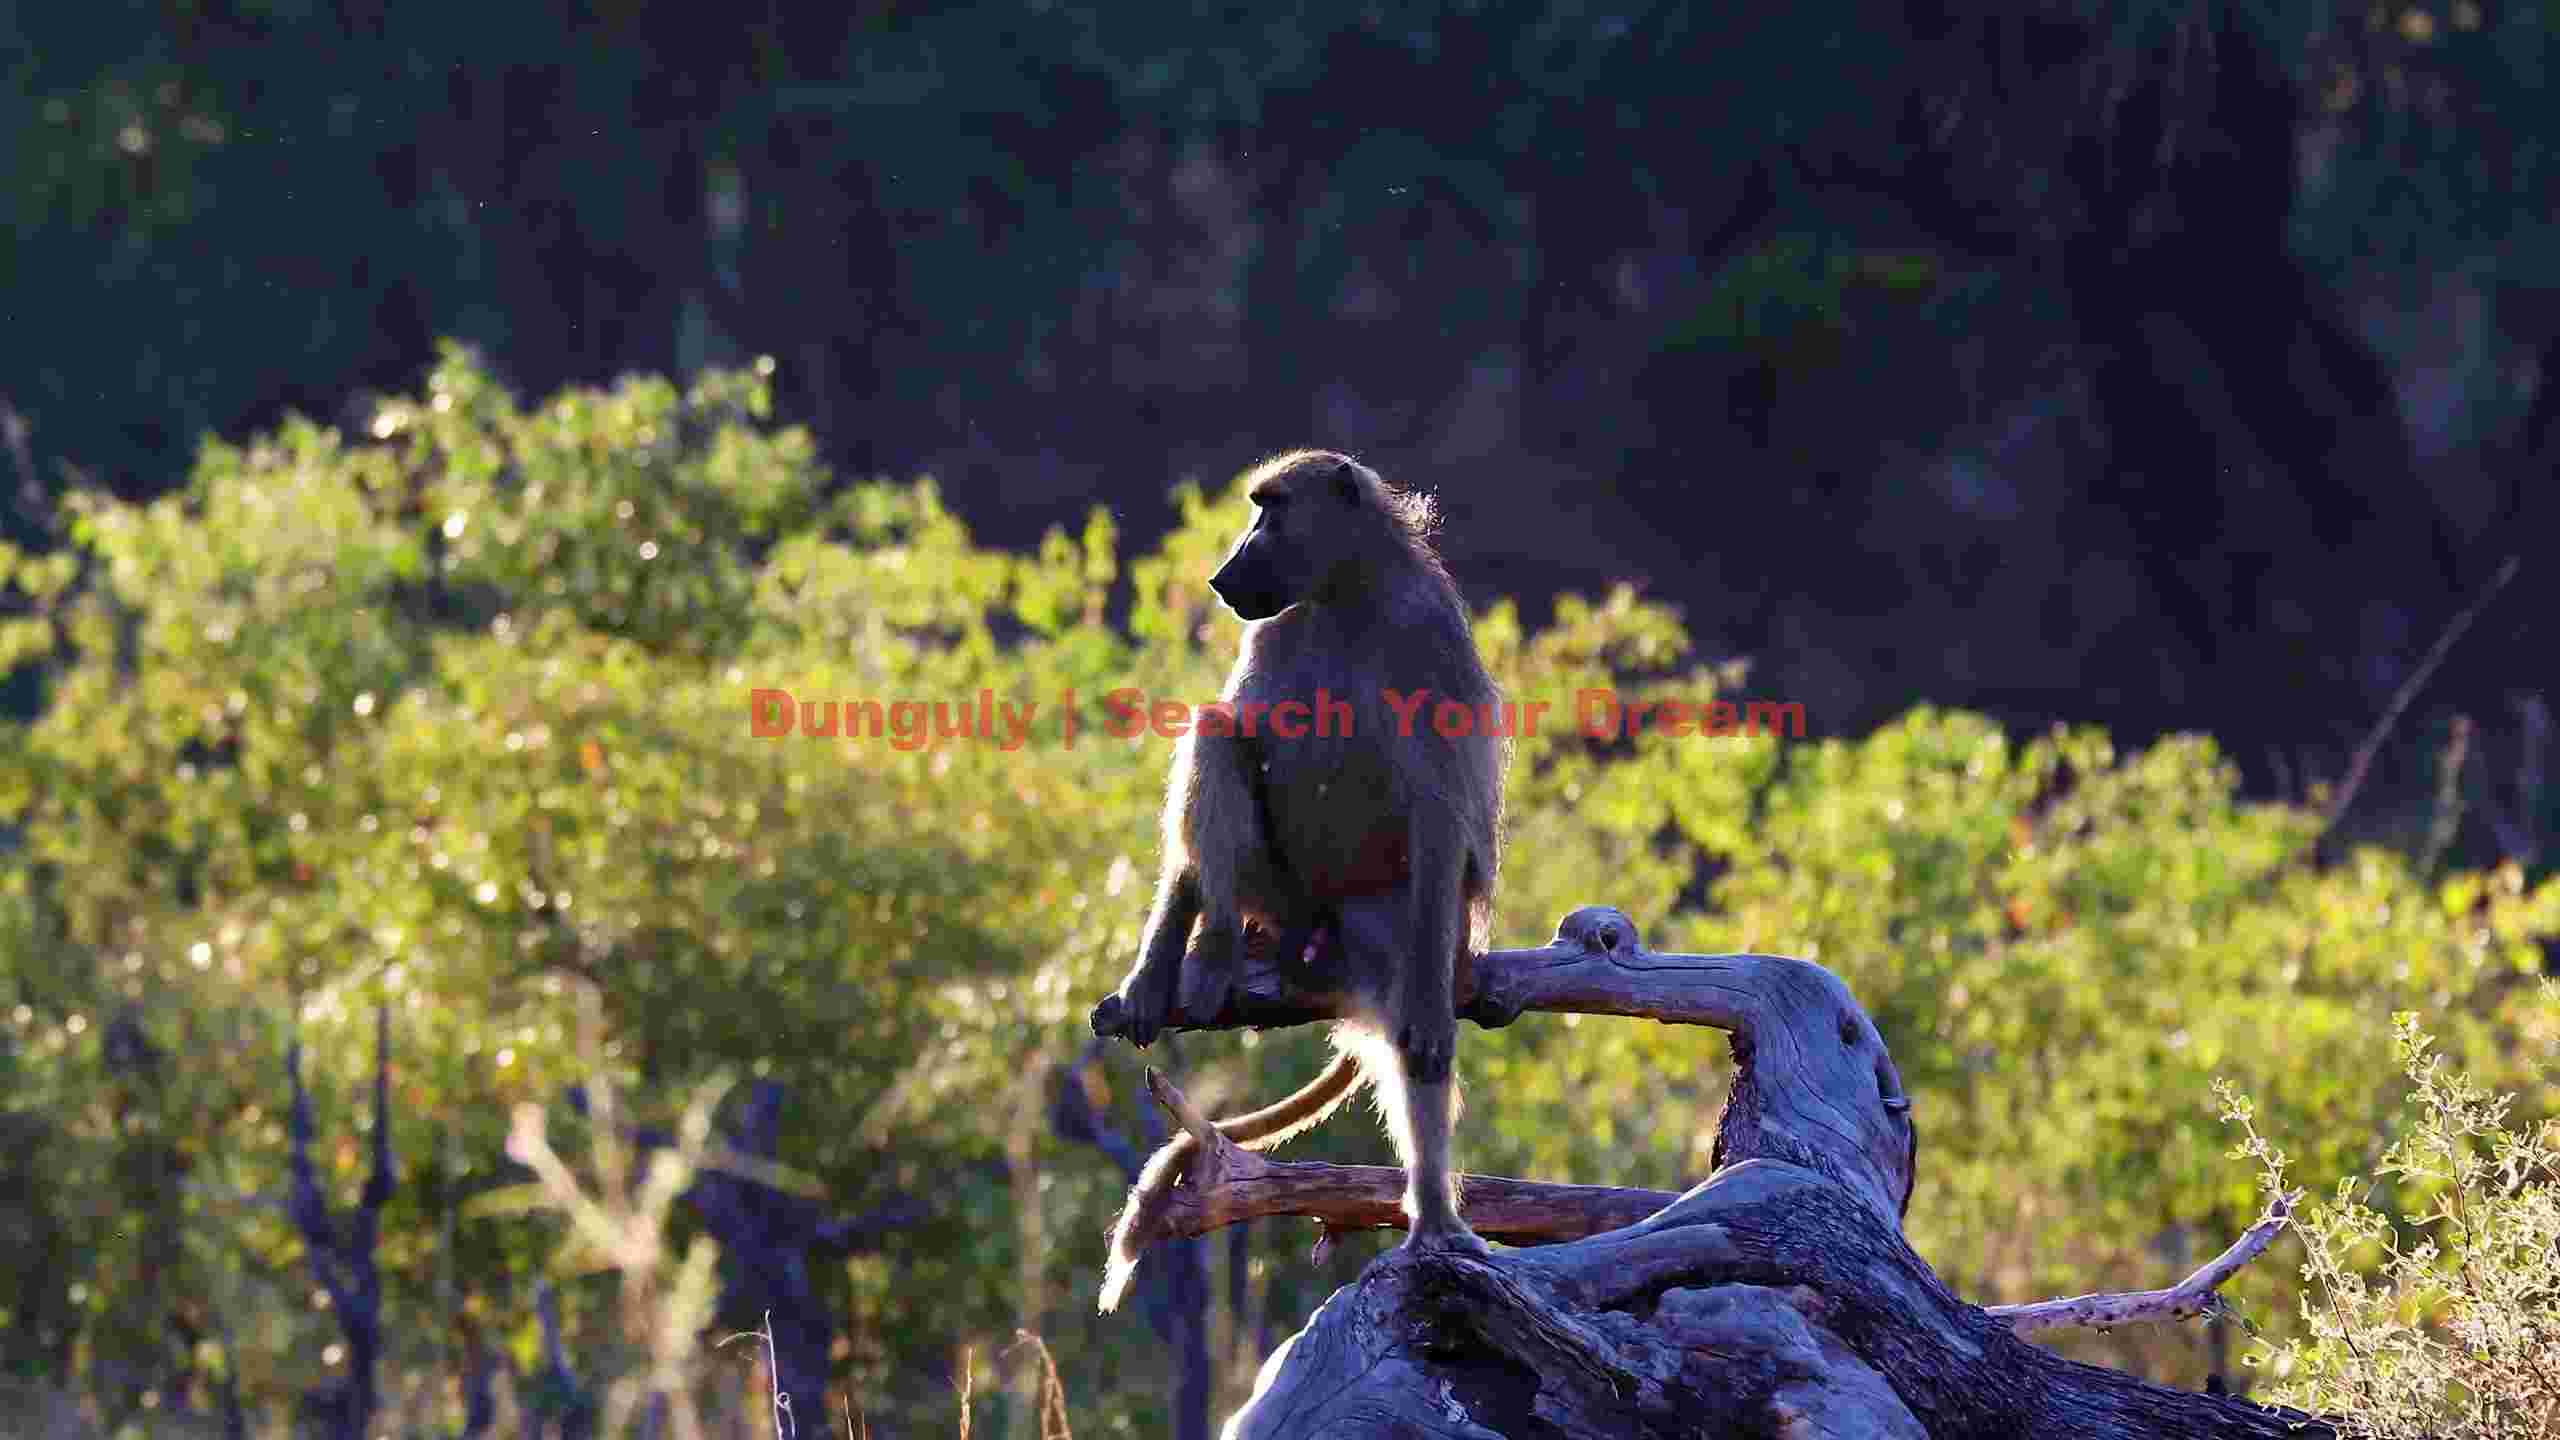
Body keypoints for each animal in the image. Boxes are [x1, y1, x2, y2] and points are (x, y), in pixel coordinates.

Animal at [1090, 449, 1506, 1313]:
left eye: (1270, 511)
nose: (1223, 575)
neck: (1345, 593)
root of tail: (1312, 929)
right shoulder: (1272, 628)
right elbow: (1236, 734)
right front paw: (1154, 964)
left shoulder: (1430, 636)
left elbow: (1442, 809)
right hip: (1275, 895)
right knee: (1217, 737)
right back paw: (1208, 953)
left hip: (1384, 918)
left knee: (1415, 1034)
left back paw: (1433, 1218)